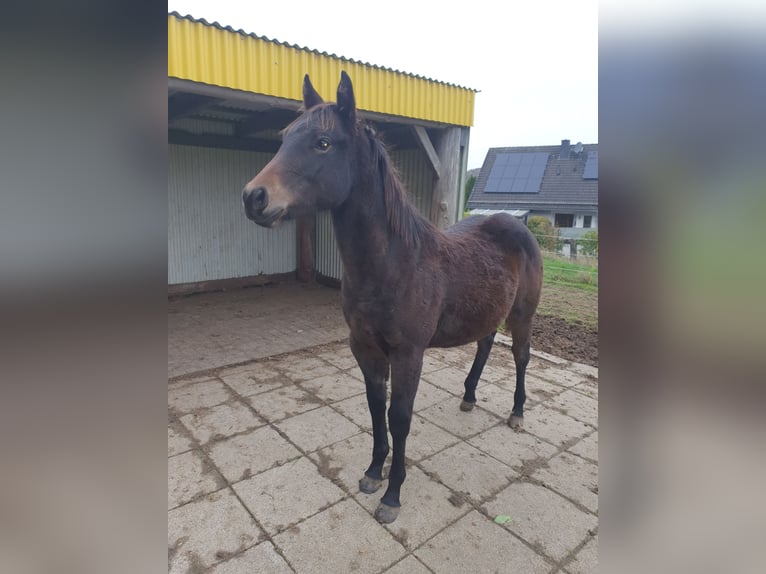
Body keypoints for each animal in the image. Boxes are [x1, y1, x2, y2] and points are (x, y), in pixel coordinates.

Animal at [243, 73, 544, 528]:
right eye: (284, 137)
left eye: (323, 142)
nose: (253, 197)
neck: (394, 264)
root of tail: (518, 223)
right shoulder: (365, 348)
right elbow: (374, 408)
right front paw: (372, 472)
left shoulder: (408, 354)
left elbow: (399, 418)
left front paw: (392, 494)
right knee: (485, 343)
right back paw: (469, 397)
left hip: (523, 315)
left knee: (521, 356)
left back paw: (518, 413)